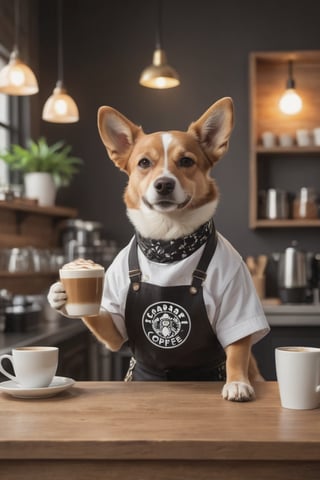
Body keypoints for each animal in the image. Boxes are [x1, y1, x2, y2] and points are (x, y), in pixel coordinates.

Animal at [47, 97, 268, 402]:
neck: (167, 245)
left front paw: (236, 383)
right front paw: (59, 296)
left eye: (186, 161)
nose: (163, 184)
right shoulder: (114, 324)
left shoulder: (236, 290)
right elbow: (101, 319)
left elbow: (237, 349)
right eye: (144, 163)